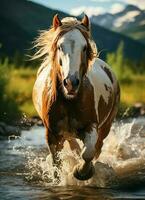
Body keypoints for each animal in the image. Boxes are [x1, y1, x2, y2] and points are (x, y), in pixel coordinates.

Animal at [32, 13, 120, 180]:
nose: (70, 83)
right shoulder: (52, 134)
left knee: (97, 148)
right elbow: (56, 163)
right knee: (73, 144)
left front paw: (81, 172)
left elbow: (88, 153)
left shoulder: (91, 126)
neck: (69, 102)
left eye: (84, 47)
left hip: (106, 126)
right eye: (60, 46)